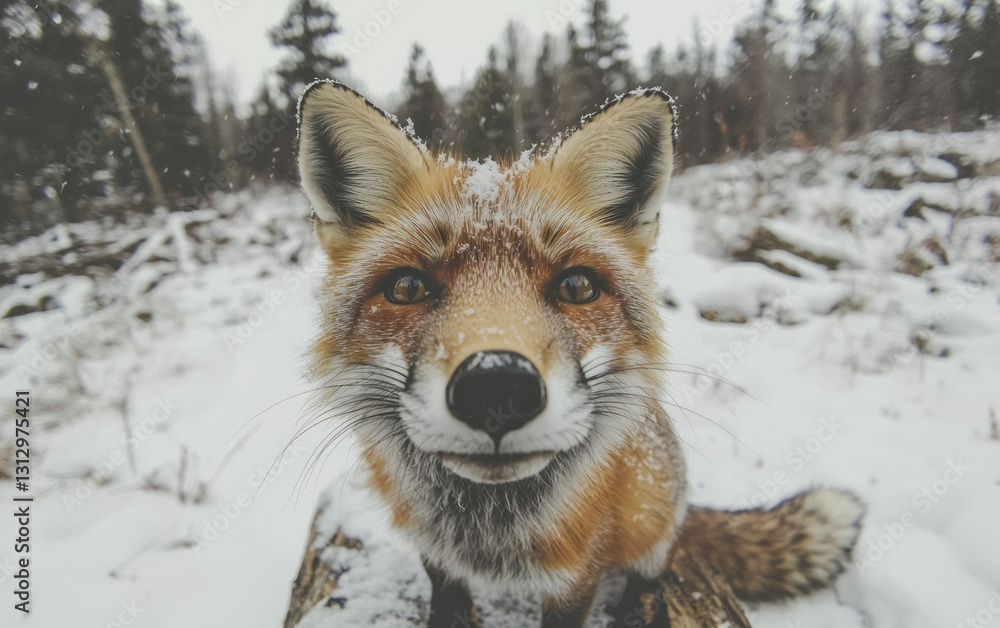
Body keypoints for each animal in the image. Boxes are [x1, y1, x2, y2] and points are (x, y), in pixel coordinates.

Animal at [293, 80, 865, 627]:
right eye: (408, 288)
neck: (490, 530)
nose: (496, 388)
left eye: (577, 287)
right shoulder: (435, 553)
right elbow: (447, 599)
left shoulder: (578, 572)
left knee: (654, 572)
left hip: (651, 518)